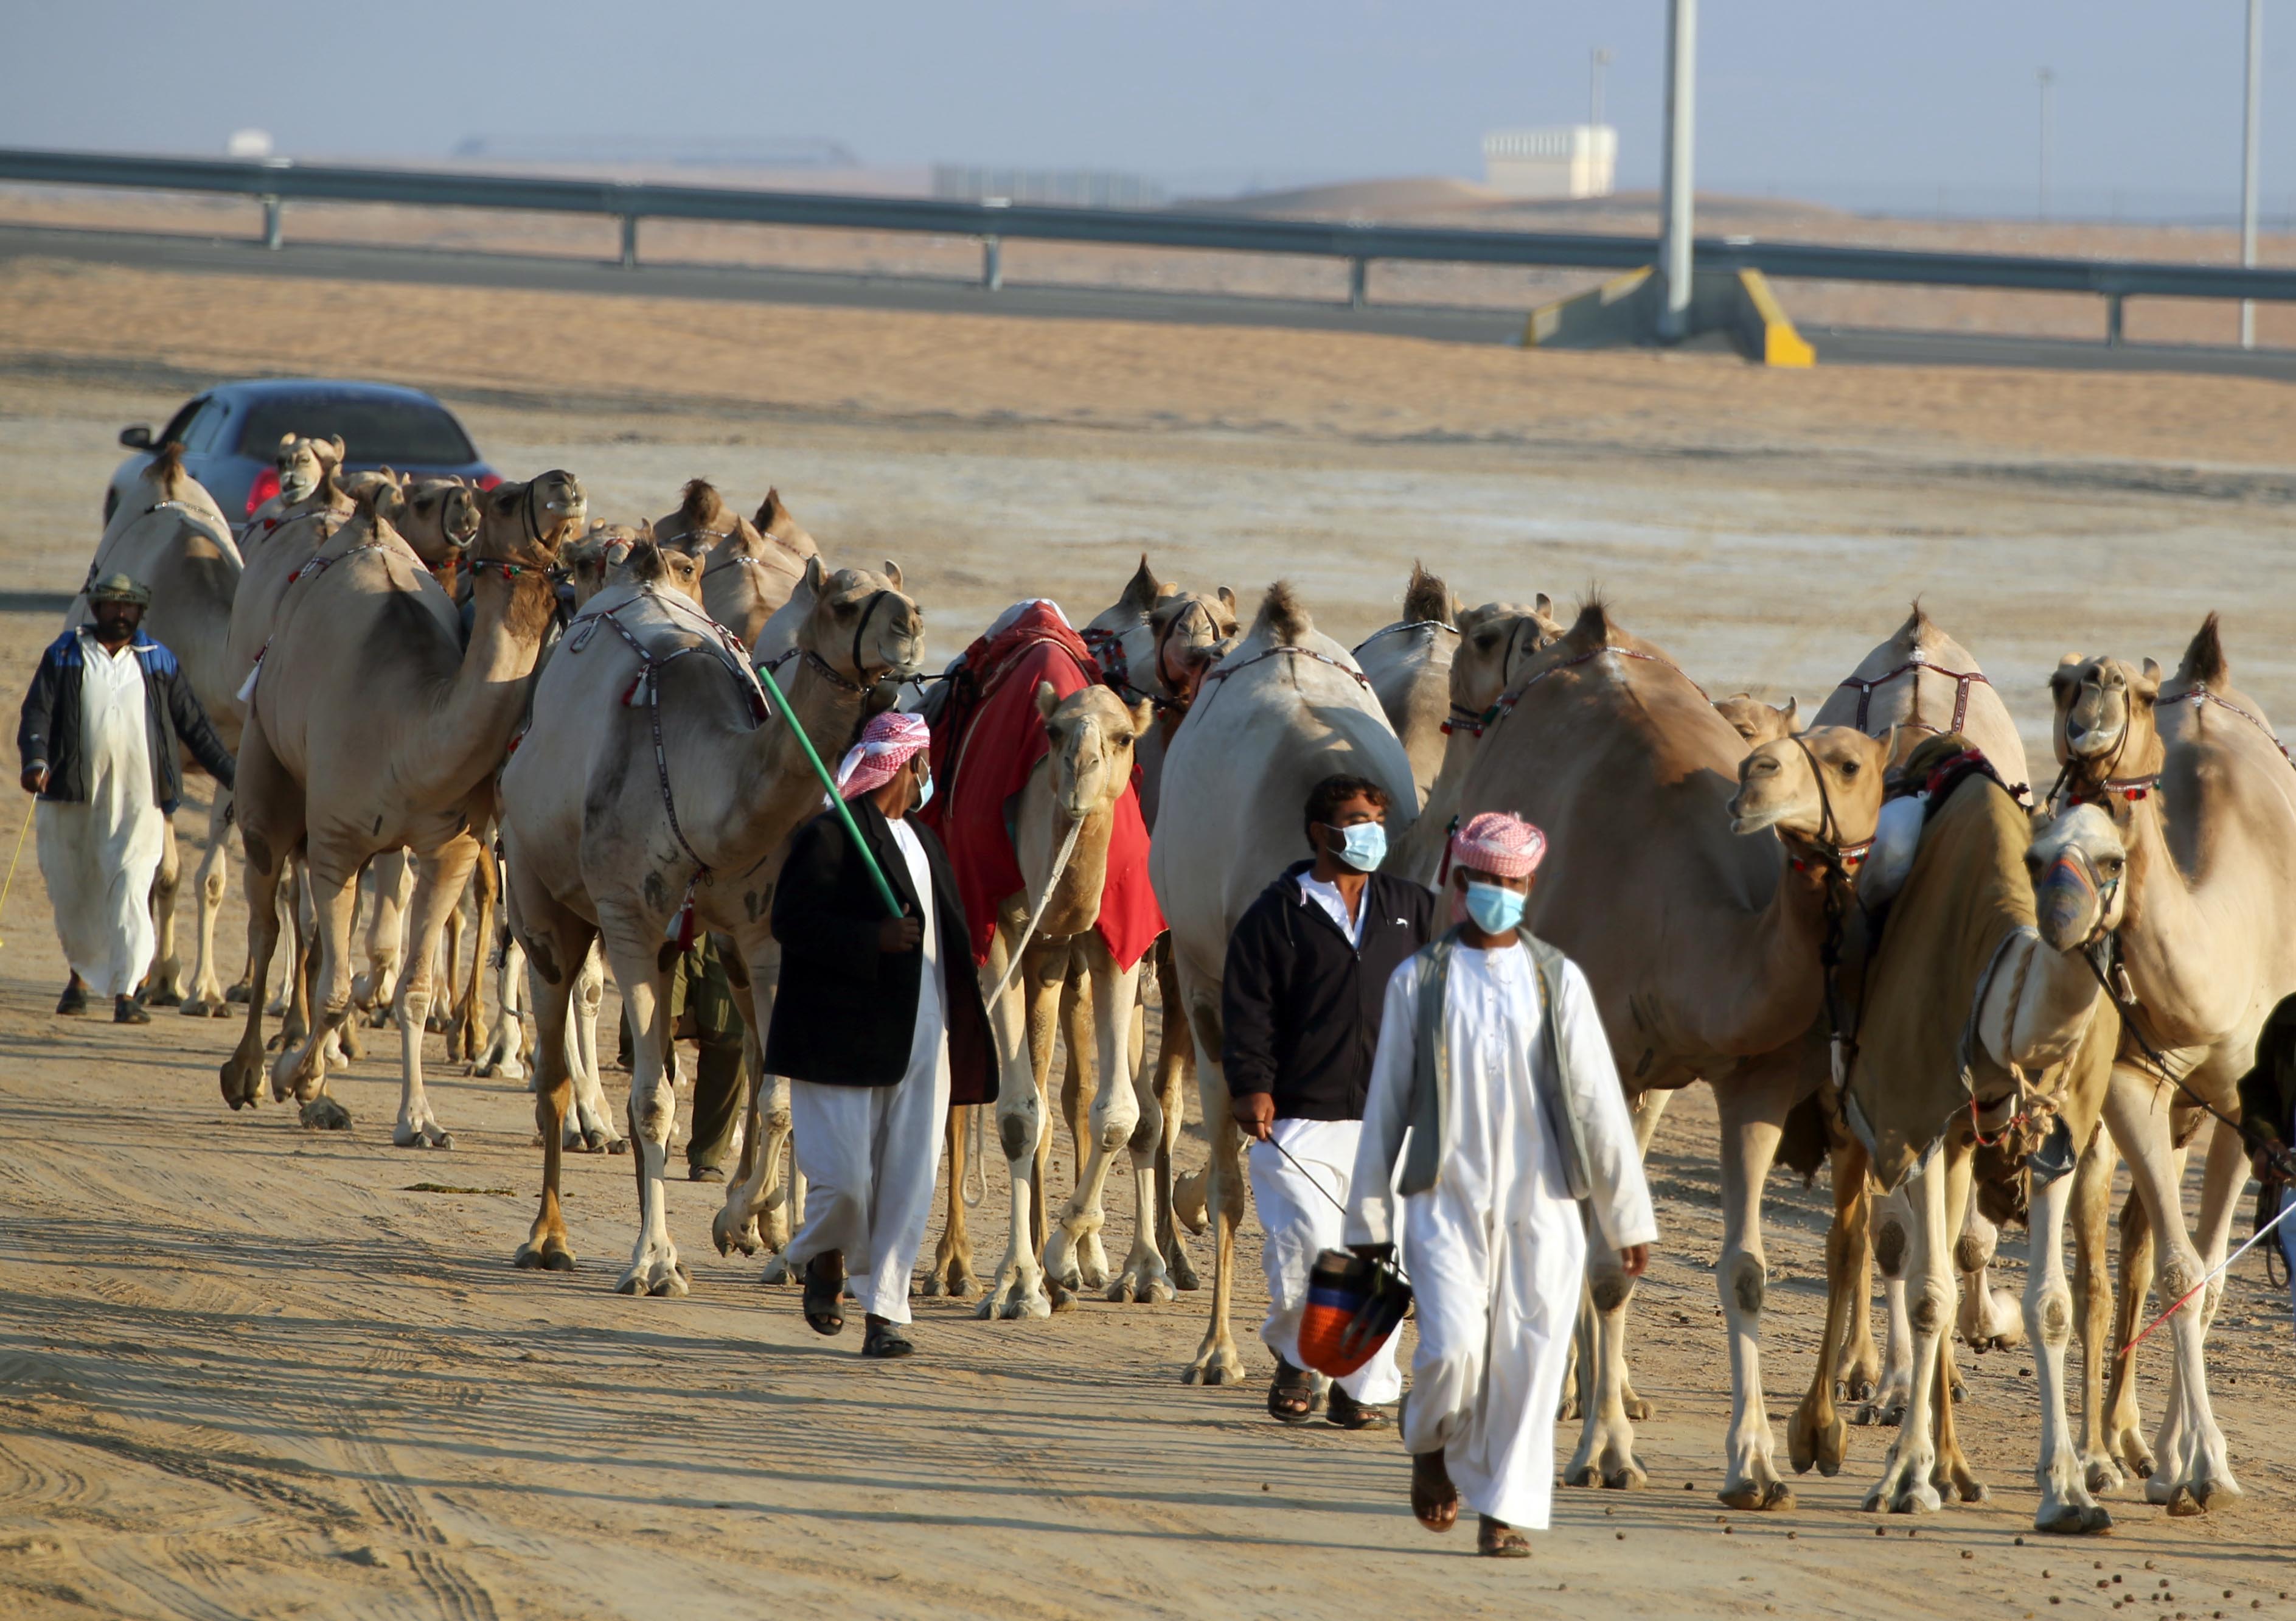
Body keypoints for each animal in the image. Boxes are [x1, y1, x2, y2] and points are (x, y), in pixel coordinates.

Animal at [220, 468, 588, 1143]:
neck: (407, 729)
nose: (566, 482)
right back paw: (251, 1072)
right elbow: (336, 986)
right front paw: (293, 1079)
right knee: (268, 923)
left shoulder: (450, 848)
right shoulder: (336, 842)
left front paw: (418, 1118)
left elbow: (411, 990)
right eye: (505, 498)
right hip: (265, 764)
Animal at [512, 553, 923, 1286]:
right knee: (555, 1065)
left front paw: (742, 1223)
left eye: (905, 593)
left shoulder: (760, 932)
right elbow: (652, 1101)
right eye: (845, 605)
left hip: (696, 944)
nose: (913, 627)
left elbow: (779, 1096)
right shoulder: (628, 921)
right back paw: (548, 1238)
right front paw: (654, 1262)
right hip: (540, 904)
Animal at [1451, 601, 1882, 1506]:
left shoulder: (1754, 1078)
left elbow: (1746, 1269)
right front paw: (1605, 1452)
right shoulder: (1600, 1058)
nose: (1755, 779)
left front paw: (1754, 1465)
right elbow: (1609, 1262)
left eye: (1852, 761)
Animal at [2039, 610, 2286, 1506]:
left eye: (2140, 695)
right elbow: (2179, 1272)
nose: (2098, 688)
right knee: (2110, 1259)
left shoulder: (2246, 1110)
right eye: (2058, 682)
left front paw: (2195, 1462)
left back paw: (2136, 1441)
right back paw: (2103, 1452)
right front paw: (2195, 1462)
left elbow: (2207, 1279)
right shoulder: (2131, 1083)